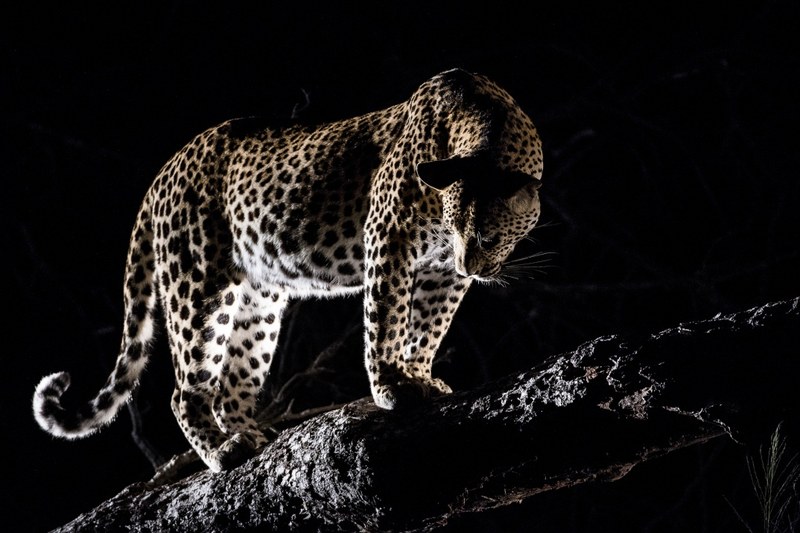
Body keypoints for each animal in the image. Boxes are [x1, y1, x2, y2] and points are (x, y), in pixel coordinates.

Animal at [33, 68, 544, 472]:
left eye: (487, 238)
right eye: (461, 230)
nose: (471, 266)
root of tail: (161, 176)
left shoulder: (440, 272)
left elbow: (428, 325)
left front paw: (419, 375)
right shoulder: (388, 236)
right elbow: (387, 319)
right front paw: (393, 387)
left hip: (258, 301)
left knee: (231, 386)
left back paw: (254, 436)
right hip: (196, 287)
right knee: (187, 391)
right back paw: (223, 451)